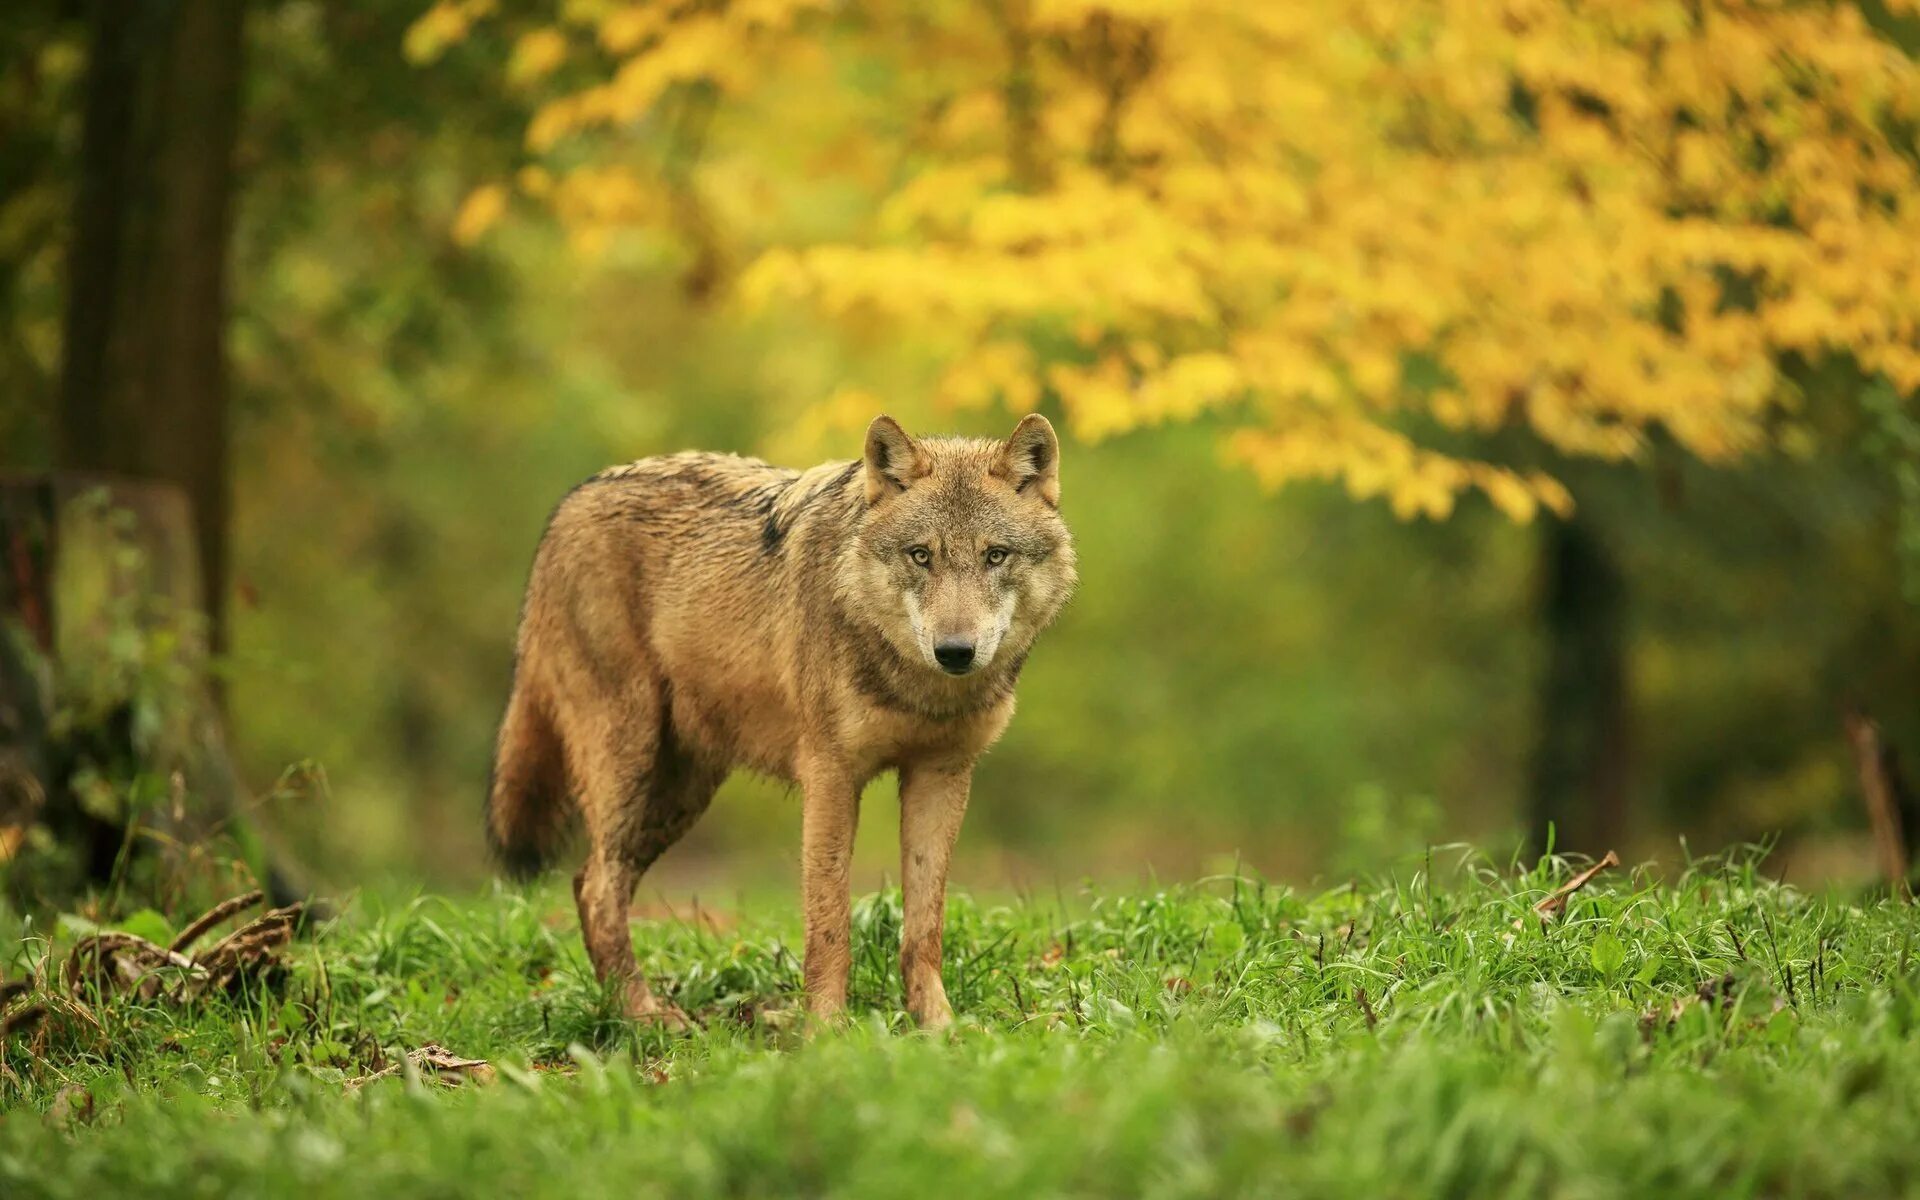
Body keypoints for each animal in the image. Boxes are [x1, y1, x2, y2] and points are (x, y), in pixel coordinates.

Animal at [487, 416, 1075, 1021]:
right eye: (921, 556)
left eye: (995, 556)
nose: (955, 651)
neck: (919, 690)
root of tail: (570, 503)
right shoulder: (830, 776)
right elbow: (829, 922)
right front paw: (828, 1028)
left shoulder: (942, 775)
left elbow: (924, 927)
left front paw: (939, 1026)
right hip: (631, 764)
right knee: (598, 886)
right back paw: (646, 1016)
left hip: (677, 795)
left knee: (589, 879)